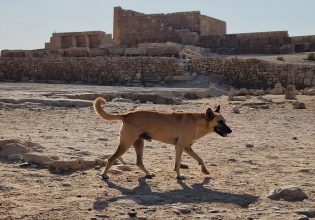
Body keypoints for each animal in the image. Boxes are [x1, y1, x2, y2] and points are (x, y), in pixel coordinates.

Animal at [94, 97, 232, 180]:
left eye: (225, 121)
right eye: (220, 122)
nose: (230, 131)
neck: (198, 122)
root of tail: (127, 115)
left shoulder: (187, 148)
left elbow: (200, 159)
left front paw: (205, 170)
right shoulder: (180, 147)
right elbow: (177, 163)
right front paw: (179, 176)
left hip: (139, 143)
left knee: (139, 162)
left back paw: (148, 174)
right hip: (126, 144)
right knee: (111, 158)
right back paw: (104, 175)